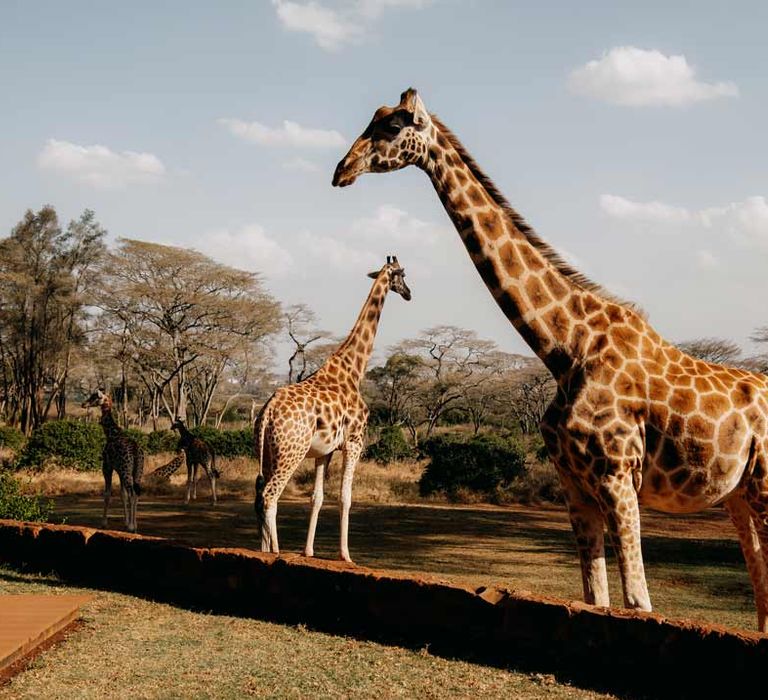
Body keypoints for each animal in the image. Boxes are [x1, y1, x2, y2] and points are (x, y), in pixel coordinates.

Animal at [82, 392, 145, 532]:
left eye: (94, 397)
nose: (83, 404)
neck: (111, 434)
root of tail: (136, 452)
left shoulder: (107, 467)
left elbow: (107, 494)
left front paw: (104, 523)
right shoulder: (119, 471)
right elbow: (123, 495)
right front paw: (126, 522)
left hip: (126, 471)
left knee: (133, 493)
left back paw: (132, 527)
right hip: (137, 471)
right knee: (136, 493)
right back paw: (135, 525)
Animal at [255, 258, 412, 564]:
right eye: (402, 275)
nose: (409, 294)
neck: (354, 370)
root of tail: (267, 411)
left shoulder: (324, 451)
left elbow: (316, 498)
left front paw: (308, 551)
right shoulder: (354, 442)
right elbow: (345, 497)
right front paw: (346, 555)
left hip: (269, 452)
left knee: (259, 496)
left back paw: (263, 549)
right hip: (292, 451)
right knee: (270, 495)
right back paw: (277, 550)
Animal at [332, 90, 768, 632]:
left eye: (393, 127)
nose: (341, 170)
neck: (564, 349)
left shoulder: (618, 477)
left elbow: (638, 602)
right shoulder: (574, 484)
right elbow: (595, 597)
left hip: (763, 488)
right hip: (739, 495)